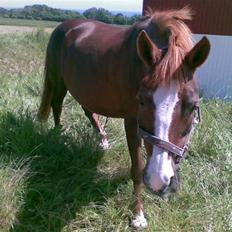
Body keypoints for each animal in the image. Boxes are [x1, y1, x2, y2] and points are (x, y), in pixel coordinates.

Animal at [38, 7, 210, 230]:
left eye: (193, 106)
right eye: (141, 101)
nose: (158, 180)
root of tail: (64, 26)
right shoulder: (131, 121)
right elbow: (136, 168)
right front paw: (138, 215)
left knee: (88, 110)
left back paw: (102, 139)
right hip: (59, 81)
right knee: (57, 105)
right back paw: (59, 136)